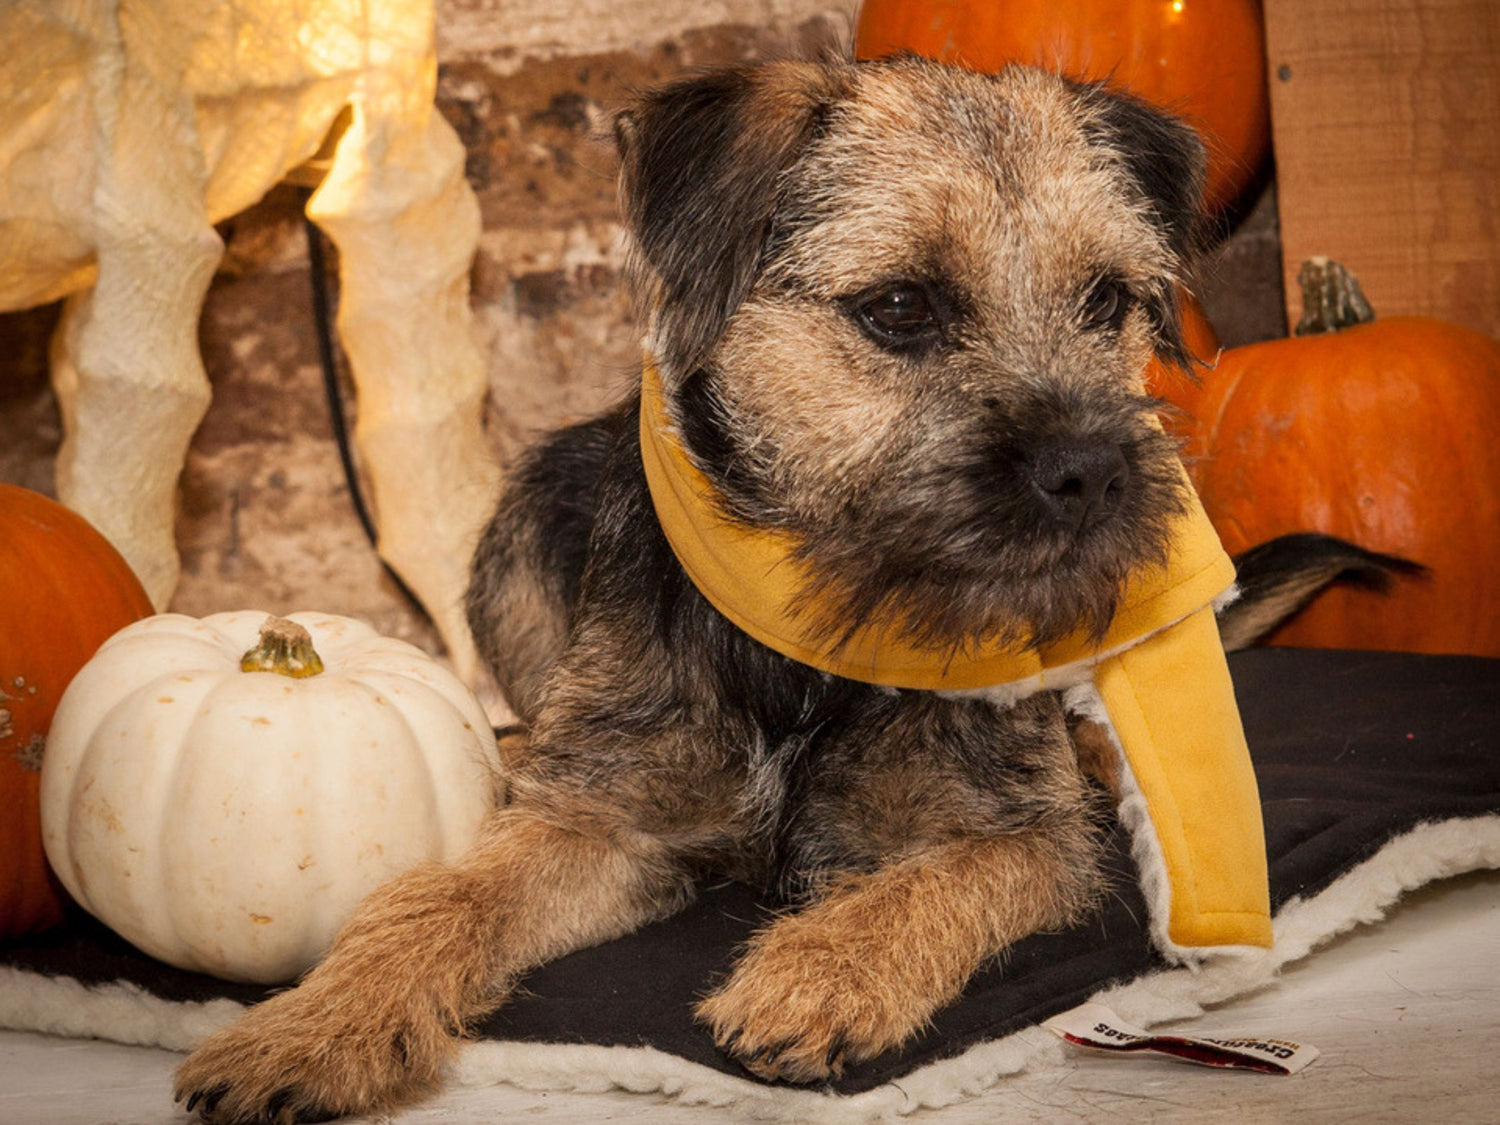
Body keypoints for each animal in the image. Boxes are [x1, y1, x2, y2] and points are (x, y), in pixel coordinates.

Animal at [172, 55, 1404, 1125]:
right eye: (900, 307)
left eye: (1108, 302)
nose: (1092, 469)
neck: (809, 635)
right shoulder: (603, 819)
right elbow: (439, 895)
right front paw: (313, 1024)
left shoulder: (1031, 837)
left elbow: (935, 880)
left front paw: (821, 971)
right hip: (519, 535)